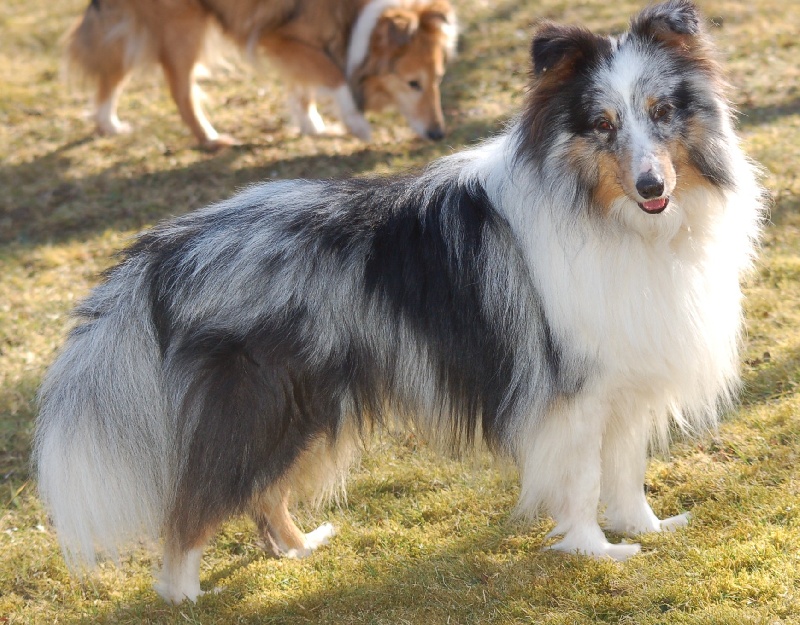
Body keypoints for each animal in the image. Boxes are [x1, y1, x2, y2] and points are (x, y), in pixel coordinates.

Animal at [65, 0, 457, 148]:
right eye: (412, 83)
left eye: (439, 78)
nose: (439, 134)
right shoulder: (279, 36)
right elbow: (332, 75)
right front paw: (357, 124)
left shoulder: (299, 44)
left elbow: (304, 87)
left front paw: (312, 125)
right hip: (184, 25)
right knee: (180, 88)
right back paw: (211, 138)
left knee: (113, 68)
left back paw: (107, 123)